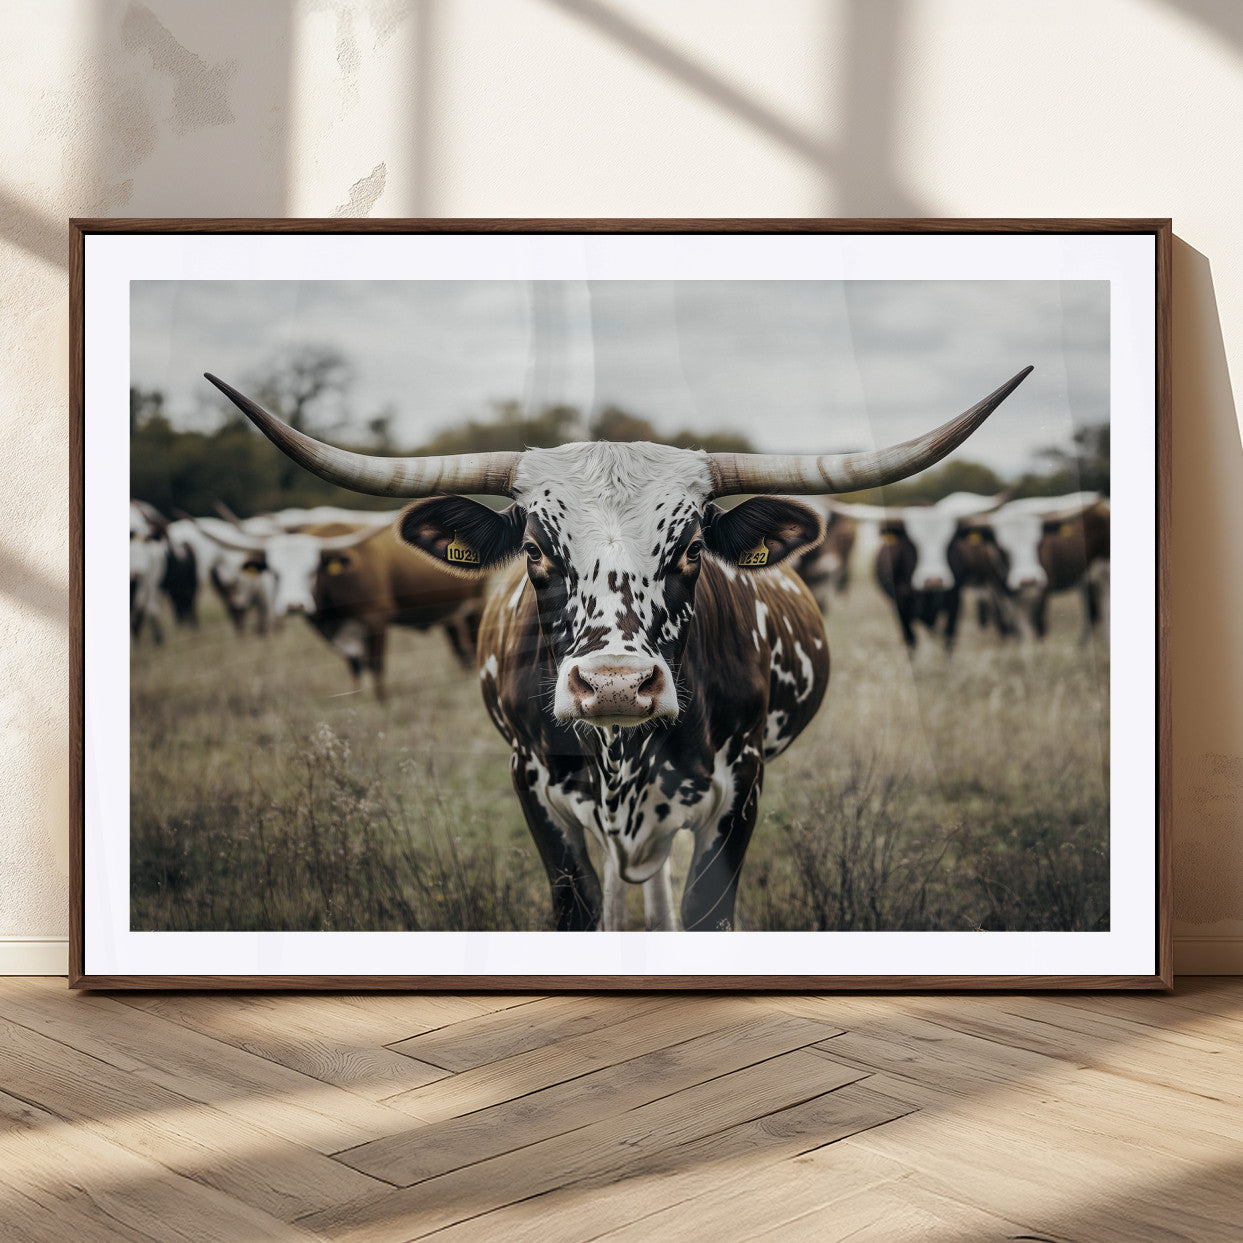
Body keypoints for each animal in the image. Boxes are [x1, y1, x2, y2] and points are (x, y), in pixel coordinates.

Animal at [192, 516, 488, 697]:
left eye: (312, 570)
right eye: (274, 572)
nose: (294, 605)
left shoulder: (376, 621)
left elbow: (376, 667)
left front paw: (382, 705)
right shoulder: (341, 634)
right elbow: (355, 667)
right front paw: (359, 702)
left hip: (475, 608)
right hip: (451, 613)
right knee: (460, 649)